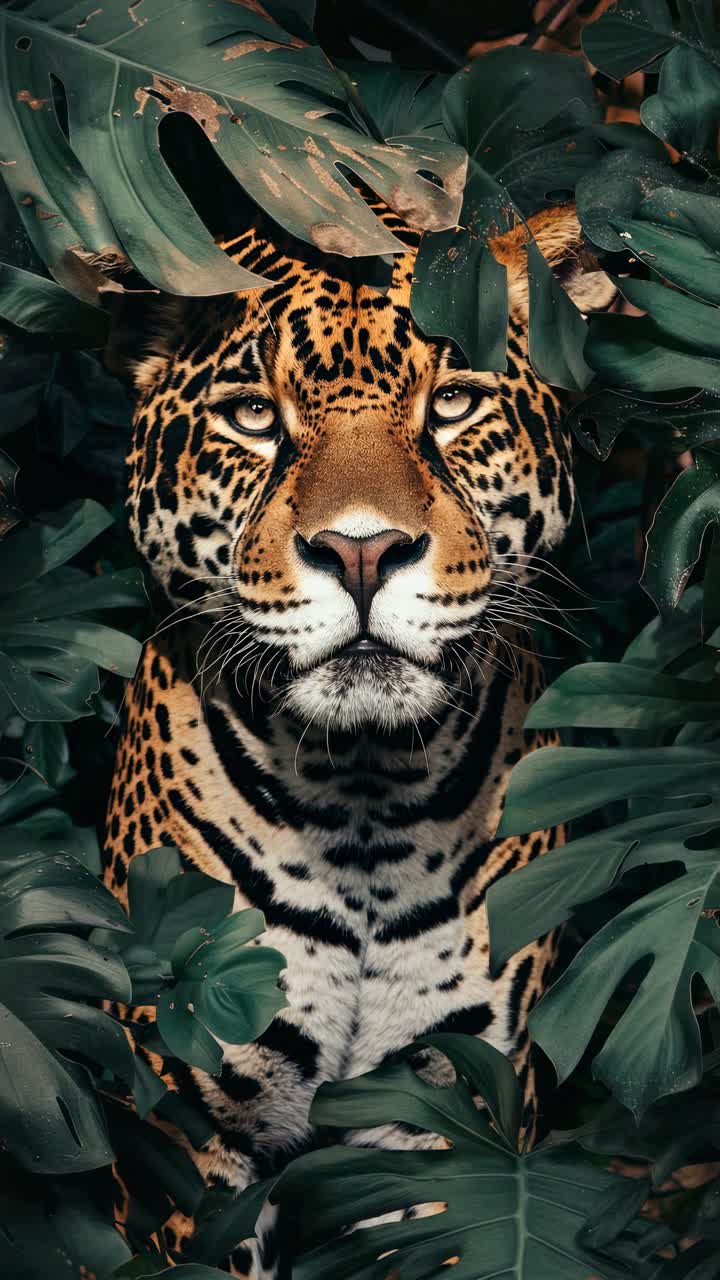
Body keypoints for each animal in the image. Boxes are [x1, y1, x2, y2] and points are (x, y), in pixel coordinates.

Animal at [103, 200, 613, 1277]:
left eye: (454, 402)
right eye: (254, 417)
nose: (364, 550)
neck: (366, 798)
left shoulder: (447, 1122)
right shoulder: (192, 1137)